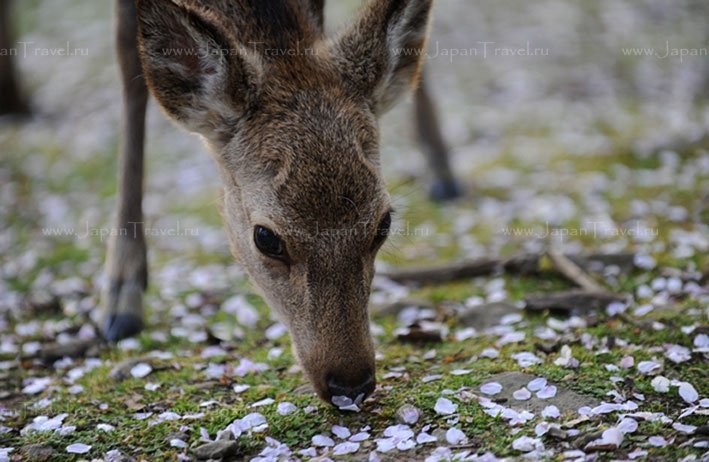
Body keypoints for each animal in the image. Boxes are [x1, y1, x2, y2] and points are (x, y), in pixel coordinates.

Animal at [0, 0, 460, 402]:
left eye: (383, 224)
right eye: (266, 238)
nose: (351, 383)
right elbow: (128, 57)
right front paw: (121, 301)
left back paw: (444, 171)